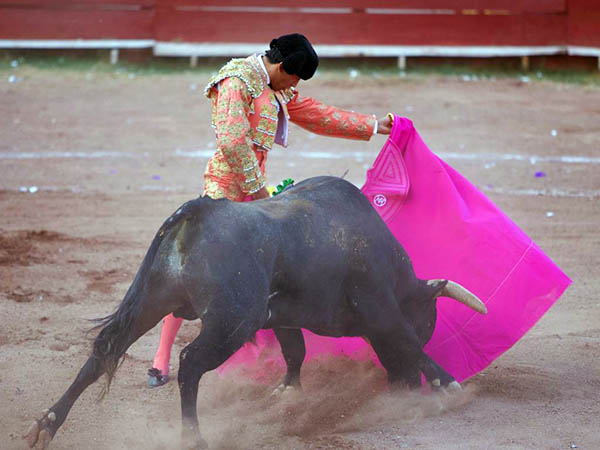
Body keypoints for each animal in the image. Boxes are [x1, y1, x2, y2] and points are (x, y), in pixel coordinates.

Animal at [24, 175, 488, 446]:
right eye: (427, 323)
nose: (402, 386)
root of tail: (197, 211)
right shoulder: (380, 308)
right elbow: (407, 342)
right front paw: (448, 384)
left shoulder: (281, 317)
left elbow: (295, 350)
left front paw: (288, 389)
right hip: (231, 322)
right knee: (190, 363)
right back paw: (193, 438)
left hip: (150, 300)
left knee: (105, 350)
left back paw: (45, 425)